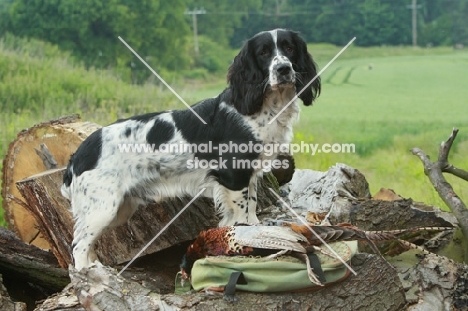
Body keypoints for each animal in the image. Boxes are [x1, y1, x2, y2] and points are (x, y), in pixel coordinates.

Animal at [60, 28, 320, 270]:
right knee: (79, 245)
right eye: (263, 53)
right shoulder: (233, 176)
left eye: (289, 48)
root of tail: (78, 156)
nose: (284, 69)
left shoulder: (249, 175)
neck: (259, 109)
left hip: (118, 208)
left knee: (87, 244)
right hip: (103, 207)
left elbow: (251, 209)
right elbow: (240, 217)